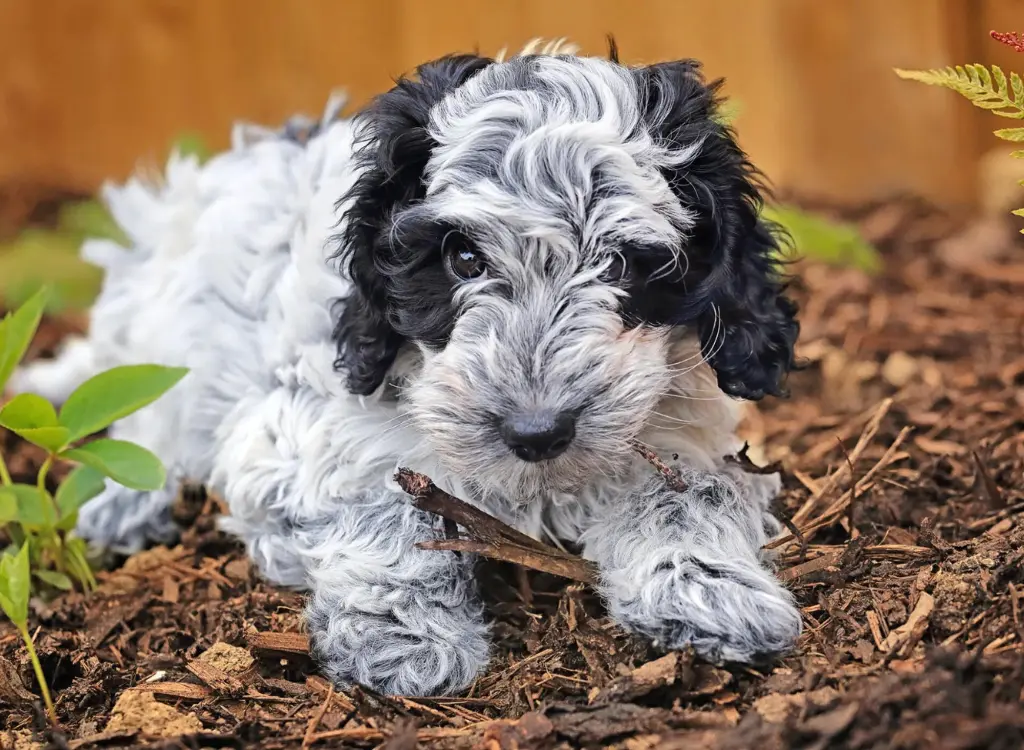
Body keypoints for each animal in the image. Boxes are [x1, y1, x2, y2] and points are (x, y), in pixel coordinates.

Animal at [12, 40, 802, 696]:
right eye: (463, 259)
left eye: (620, 265)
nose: (537, 431)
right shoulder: (296, 428)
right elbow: (385, 502)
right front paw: (405, 640)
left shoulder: (681, 429)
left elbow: (690, 490)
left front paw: (711, 590)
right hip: (163, 327)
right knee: (142, 413)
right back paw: (125, 503)